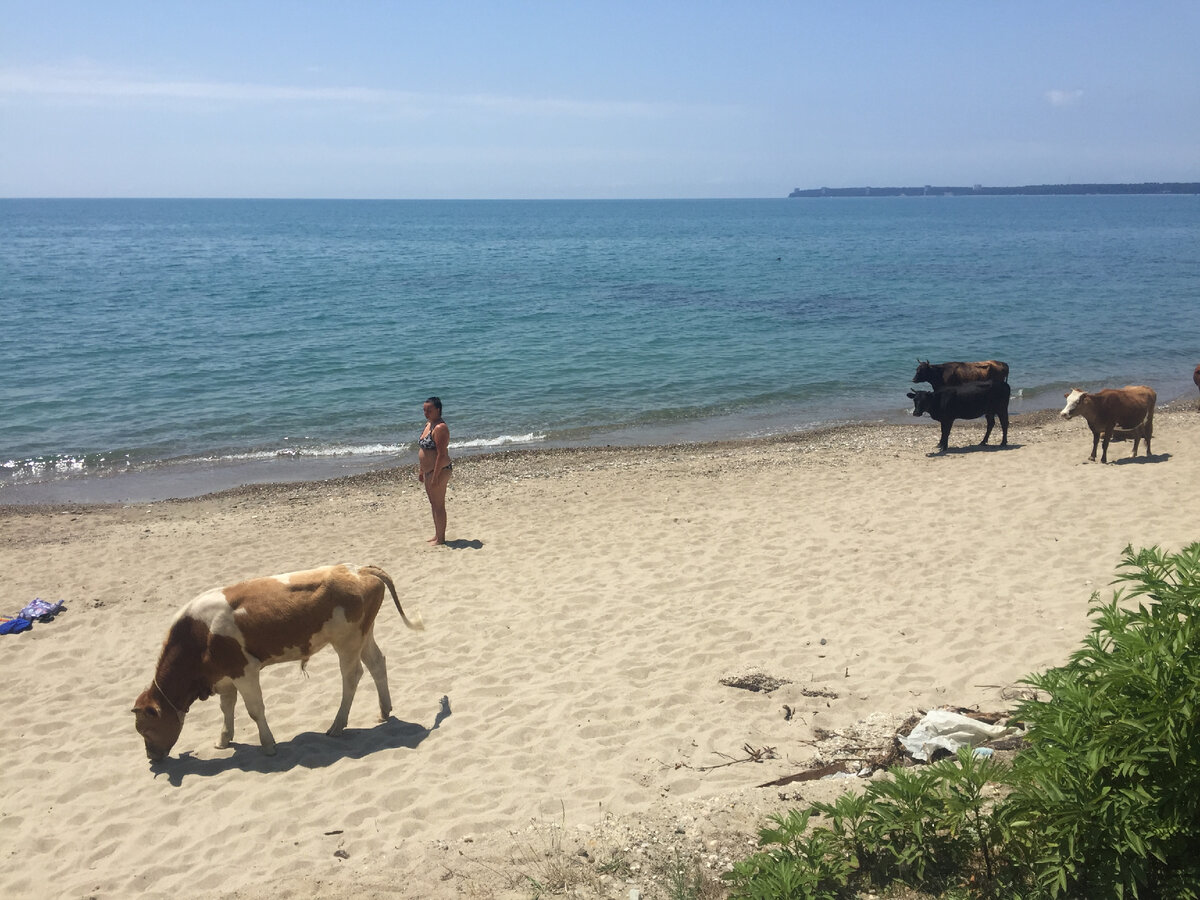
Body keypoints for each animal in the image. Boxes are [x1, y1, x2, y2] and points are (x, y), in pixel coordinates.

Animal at [130, 564, 422, 763]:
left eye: (145, 729)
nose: (151, 757)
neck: (197, 634)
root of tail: (358, 568)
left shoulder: (244, 671)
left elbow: (254, 710)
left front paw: (268, 745)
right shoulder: (224, 676)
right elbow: (227, 708)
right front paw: (224, 739)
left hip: (347, 642)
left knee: (351, 677)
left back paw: (337, 726)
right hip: (364, 635)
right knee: (377, 664)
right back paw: (384, 711)